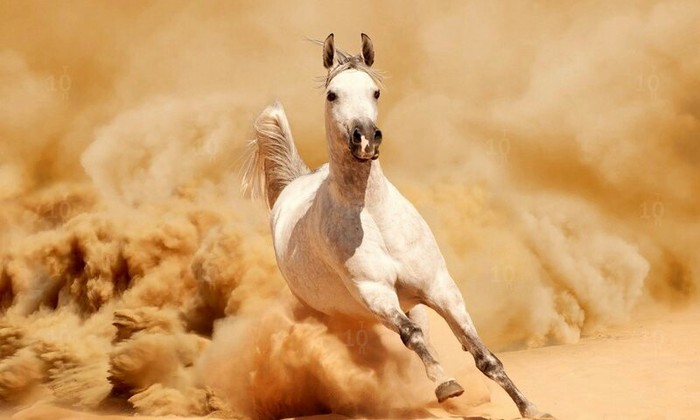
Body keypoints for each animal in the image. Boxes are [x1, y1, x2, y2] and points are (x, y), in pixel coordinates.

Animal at [245, 33, 552, 420]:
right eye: (333, 95)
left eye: (375, 91)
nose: (365, 138)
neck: (373, 217)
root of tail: (294, 183)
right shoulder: (376, 293)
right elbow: (412, 336)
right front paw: (448, 387)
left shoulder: (440, 288)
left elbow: (483, 356)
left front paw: (532, 409)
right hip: (338, 313)